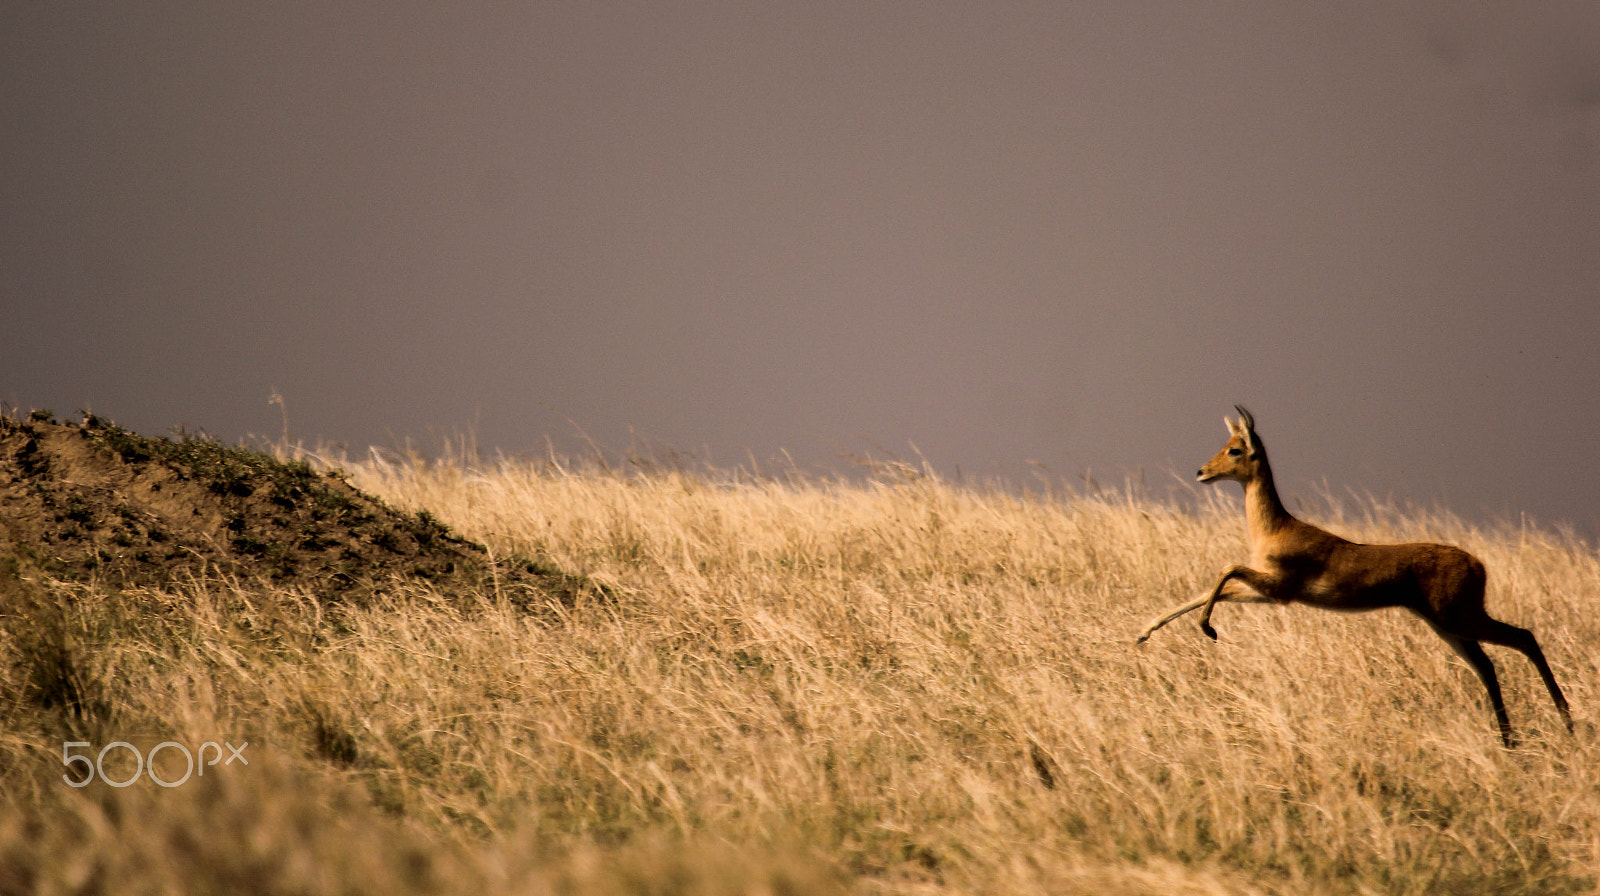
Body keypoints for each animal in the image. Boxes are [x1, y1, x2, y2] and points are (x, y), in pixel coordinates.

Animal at [1136, 406, 1573, 747]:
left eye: (1235, 448)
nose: (1201, 472)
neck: (1276, 528)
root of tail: (1477, 563)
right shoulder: (1268, 593)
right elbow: (1212, 589)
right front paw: (1144, 631)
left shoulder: (1278, 588)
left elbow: (1226, 569)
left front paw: (1206, 629)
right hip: (1447, 626)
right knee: (1488, 666)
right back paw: (1510, 740)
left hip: (1459, 619)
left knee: (1524, 638)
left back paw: (1566, 722)